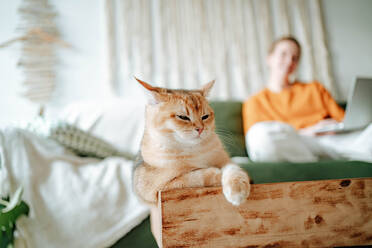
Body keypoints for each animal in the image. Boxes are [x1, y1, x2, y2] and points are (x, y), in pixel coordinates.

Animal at [132, 78, 251, 206]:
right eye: (183, 117)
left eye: (205, 116)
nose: (200, 128)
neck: (193, 149)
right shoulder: (158, 189)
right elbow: (193, 176)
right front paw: (216, 173)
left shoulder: (226, 160)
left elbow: (234, 169)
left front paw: (238, 189)